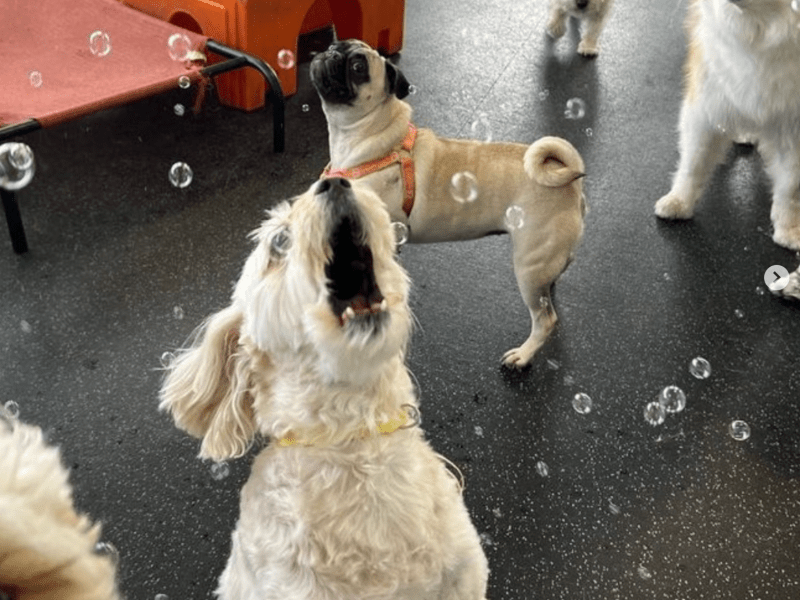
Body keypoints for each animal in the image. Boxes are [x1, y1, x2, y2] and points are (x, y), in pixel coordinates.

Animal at [310, 39, 584, 368]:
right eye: (335, 44)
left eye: (357, 67)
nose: (331, 52)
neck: (372, 135)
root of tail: (570, 183)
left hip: (528, 266)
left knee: (545, 320)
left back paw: (523, 355)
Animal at [656, 0, 800, 250]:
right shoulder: (705, 108)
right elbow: (693, 163)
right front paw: (679, 202)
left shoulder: (791, 126)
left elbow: (790, 185)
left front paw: (788, 229)